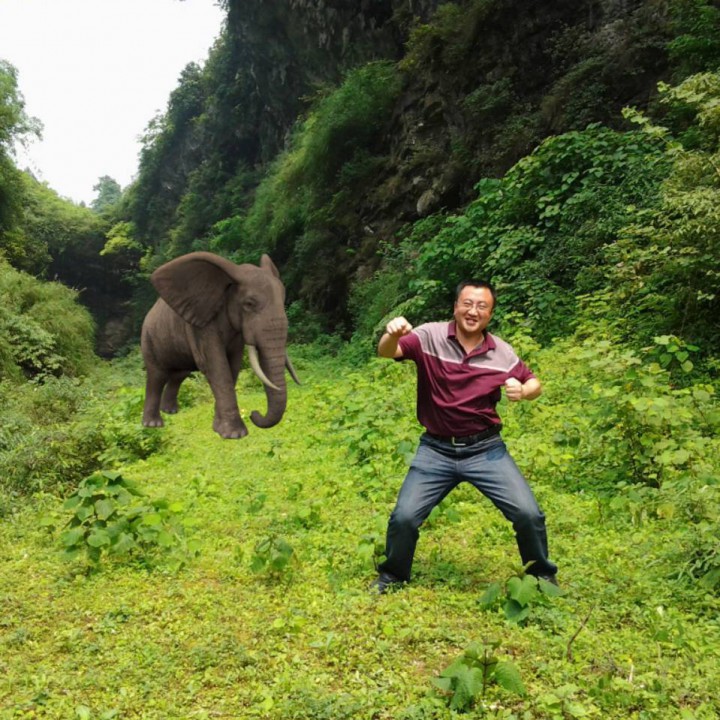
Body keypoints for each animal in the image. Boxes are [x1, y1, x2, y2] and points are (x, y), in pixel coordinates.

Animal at [140, 251, 299, 439]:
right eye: (249, 304)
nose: (254, 414)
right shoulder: (201, 325)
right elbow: (216, 366)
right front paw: (235, 435)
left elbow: (233, 366)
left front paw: (218, 428)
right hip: (148, 337)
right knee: (157, 376)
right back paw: (153, 424)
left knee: (178, 375)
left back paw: (171, 411)